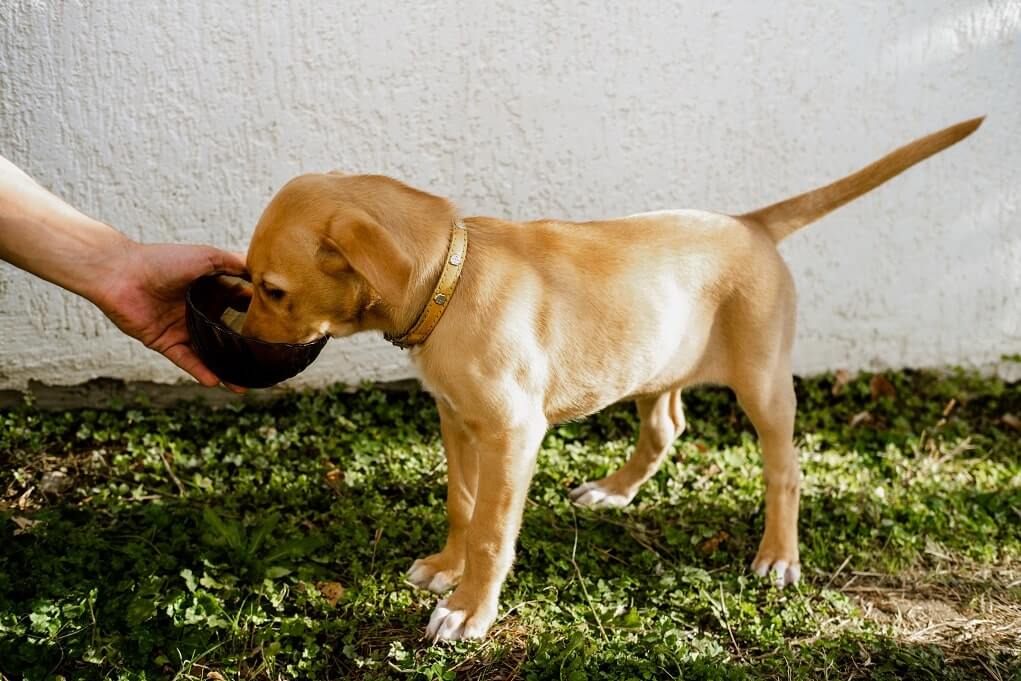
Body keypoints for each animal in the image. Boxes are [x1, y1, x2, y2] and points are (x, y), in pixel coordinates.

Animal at [238, 119, 980, 641]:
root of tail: (749, 225)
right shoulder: (455, 419)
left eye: (271, 290)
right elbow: (461, 503)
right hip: (658, 361)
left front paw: (469, 610)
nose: (240, 343)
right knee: (667, 426)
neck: (452, 279)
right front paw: (446, 568)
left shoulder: (512, 433)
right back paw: (613, 491)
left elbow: (491, 529)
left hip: (764, 382)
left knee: (784, 469)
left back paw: (777, 556)